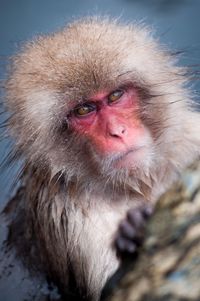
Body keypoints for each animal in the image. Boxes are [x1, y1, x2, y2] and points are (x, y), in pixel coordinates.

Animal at [2, 15, 200, 300]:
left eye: (115, 96)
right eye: (84, 110)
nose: (118, 132)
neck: (140, 184)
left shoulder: (190, 137)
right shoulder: (73, 221)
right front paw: (135, 231)